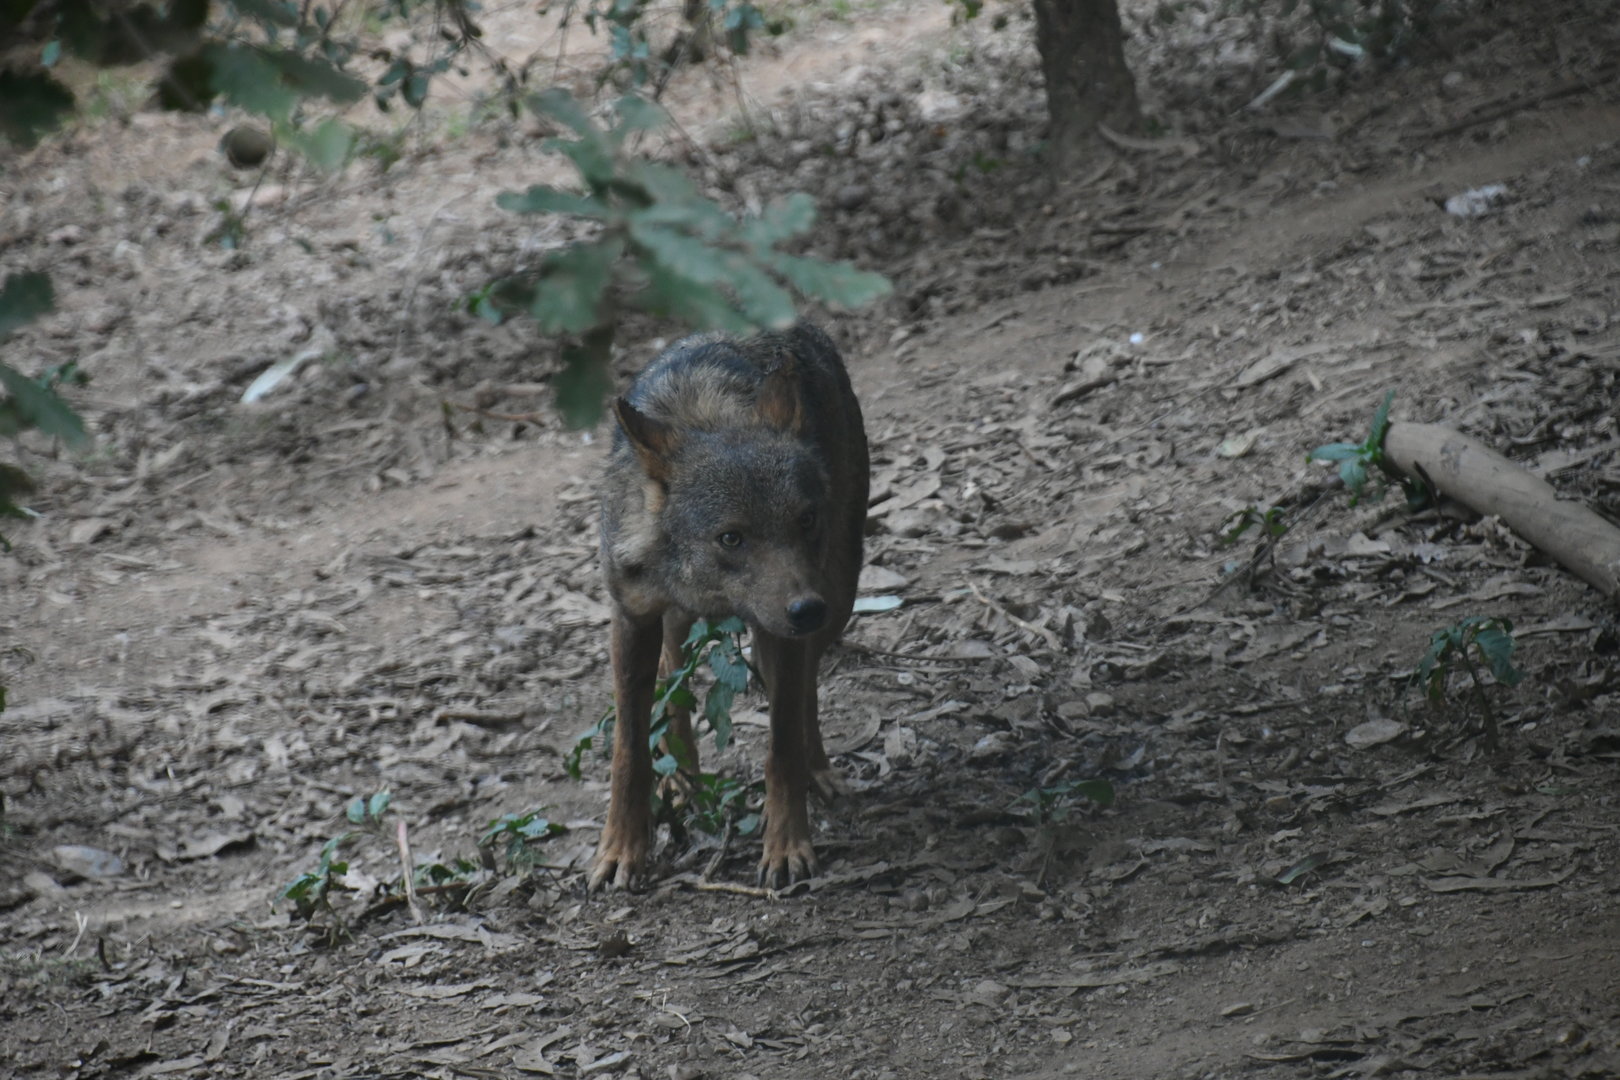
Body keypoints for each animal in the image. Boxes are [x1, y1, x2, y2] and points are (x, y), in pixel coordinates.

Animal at [590, 322, 869, 890]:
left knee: (804, 689)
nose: (806, 609)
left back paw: (818, 770)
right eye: (731, 537)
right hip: (682, 621)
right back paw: (682, 782)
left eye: (806, 519)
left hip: (838, 596)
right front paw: (621, 850)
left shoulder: (787, 626)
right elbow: (628, 751)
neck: (708, 413)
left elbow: (781, 745)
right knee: (672, 676)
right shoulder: (632, 617)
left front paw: (787, 847)